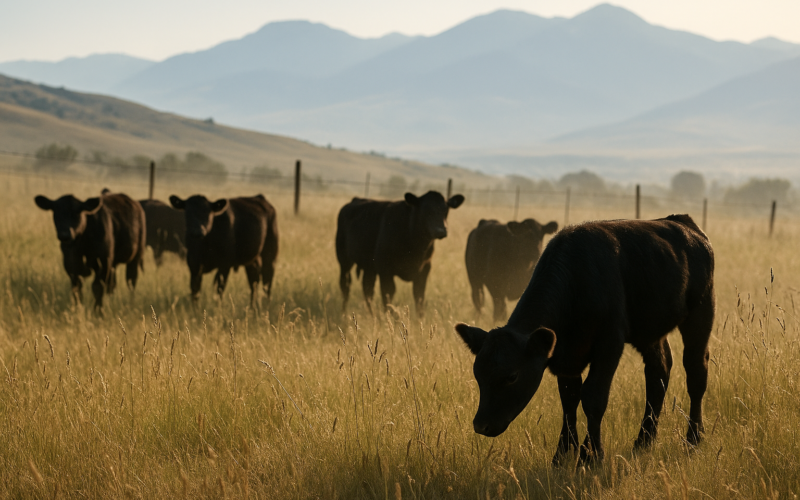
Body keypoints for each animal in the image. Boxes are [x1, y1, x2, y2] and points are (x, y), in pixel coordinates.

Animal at [336, 191, 465, 316]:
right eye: (425, 209)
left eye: (446, 209)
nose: (440, 230)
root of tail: (355, 199)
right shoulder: (385, 270)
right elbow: (388, 296)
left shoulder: (424, 269)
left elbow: (419, 298)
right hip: (344, 260)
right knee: (345, 285)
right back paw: (344, 313)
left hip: (369, 266)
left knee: (367, 288)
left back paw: (371, 315)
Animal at [455, 215, 715, 464]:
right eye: (478, 375)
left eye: (512, 377)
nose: (481, 425)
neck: (576, 282)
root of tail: (684, 223)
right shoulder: (566, 355)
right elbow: (569, 399)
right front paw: (562, 454)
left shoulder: (609, 344)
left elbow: (593, 397)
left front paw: (591, 455)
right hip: (650, 331)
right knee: (658, 373)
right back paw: (644, 441)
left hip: (701, 313)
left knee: (695, 372)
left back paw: (693, 438)